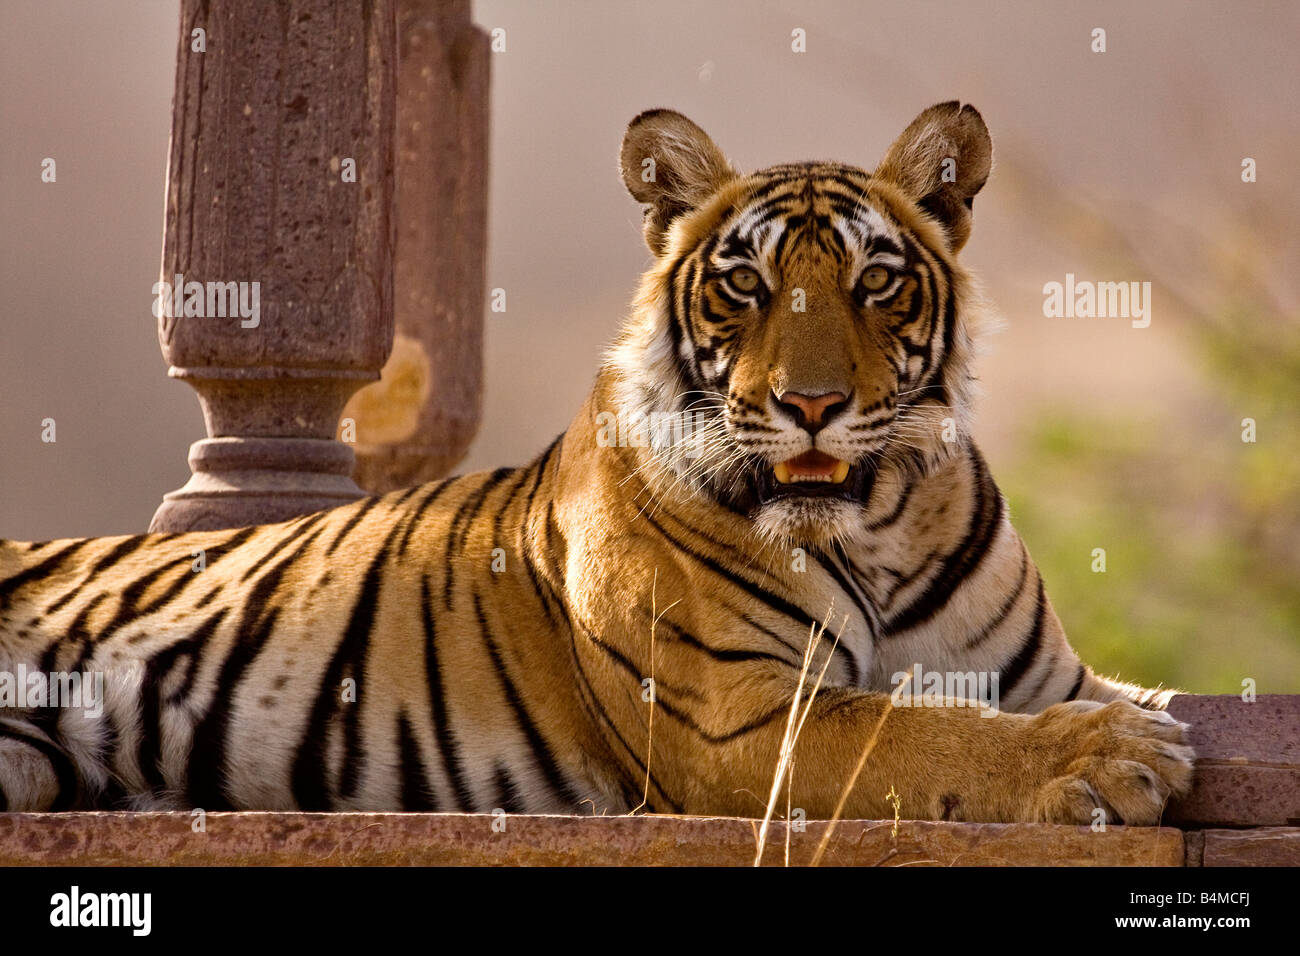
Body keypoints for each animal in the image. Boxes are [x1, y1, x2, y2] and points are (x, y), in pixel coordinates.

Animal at [0, 102, 1190, 822]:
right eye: (747, 284)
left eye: (874, 282)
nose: (809, 406)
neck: (882, 528)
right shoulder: (743, 718)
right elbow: (924, 735)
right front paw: (1106, 758)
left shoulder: (1045, 675)